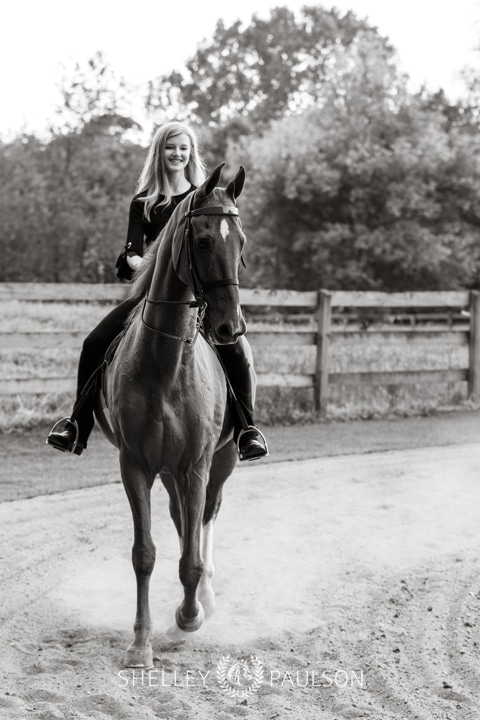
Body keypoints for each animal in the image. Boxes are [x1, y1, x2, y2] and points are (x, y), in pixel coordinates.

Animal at [93, 163, 251, 668]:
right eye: (201, 240)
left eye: (241, 241)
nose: (230, 327)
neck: (166, 365)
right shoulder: (135, 465)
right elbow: (145, 553)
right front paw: (140, 643)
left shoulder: (198, 464)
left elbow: (192, 556)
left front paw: (190, 616)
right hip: (167, 471)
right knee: (183, 519)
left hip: (222, 461)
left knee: (205, 519)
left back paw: (207, 598)